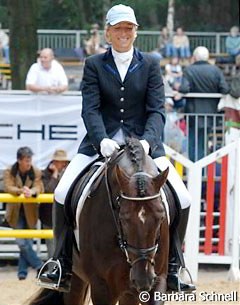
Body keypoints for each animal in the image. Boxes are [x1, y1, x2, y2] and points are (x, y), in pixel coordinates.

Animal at [27, 138, 170, 304]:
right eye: (124, 218)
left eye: (161, 217)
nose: (143, 279)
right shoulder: (101, 286)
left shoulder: (158, 280)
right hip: (76, 279)